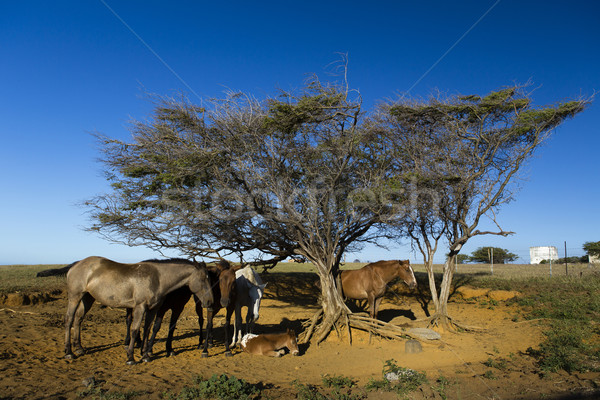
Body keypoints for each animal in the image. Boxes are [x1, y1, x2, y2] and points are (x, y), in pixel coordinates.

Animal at [62, 256, 213, 366]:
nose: (210, 301)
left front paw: (145, 355)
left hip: (87, 298)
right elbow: (135, 330)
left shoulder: (153, 309)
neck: (158, 278)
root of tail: (75, 265)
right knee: (69, 319)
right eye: (202, 279)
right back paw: (69, 352)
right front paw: (130, 357)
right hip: (75, 297)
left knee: (78, 319)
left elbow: (147, 329)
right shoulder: (140, 307)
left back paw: (79, 348)